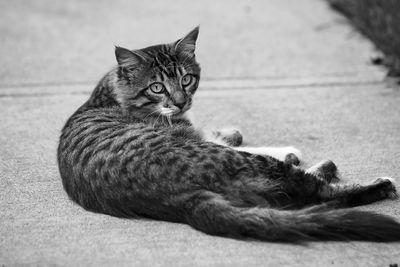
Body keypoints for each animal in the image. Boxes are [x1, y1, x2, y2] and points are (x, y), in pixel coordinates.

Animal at [57, 26, 400, 243]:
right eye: (156, 87)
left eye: (187, 79)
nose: (181, 102)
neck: (114, 91)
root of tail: (180, 198)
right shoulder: (192, 133)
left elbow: (223, 133)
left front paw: (231, 130)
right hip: (239, 163)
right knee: (314, 193)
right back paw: (371, 182)